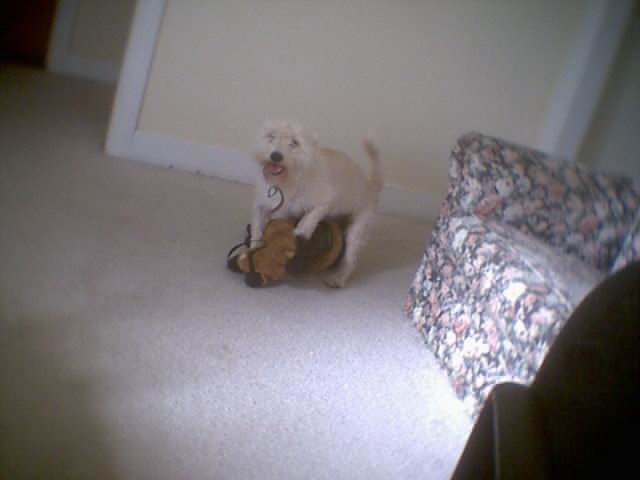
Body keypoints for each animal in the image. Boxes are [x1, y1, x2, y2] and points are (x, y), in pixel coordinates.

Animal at [250, 119, 382, 288]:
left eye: (294, 142)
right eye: (271, 136)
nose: (275, 156)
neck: (287, 180)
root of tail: (370, 186)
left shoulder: (324, 201)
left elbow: (310, 217)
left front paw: (301, 232)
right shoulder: (262, 207)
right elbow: (257, 230)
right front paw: (253, 250)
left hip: (357, 229)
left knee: (350, 259)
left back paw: (338, 278)